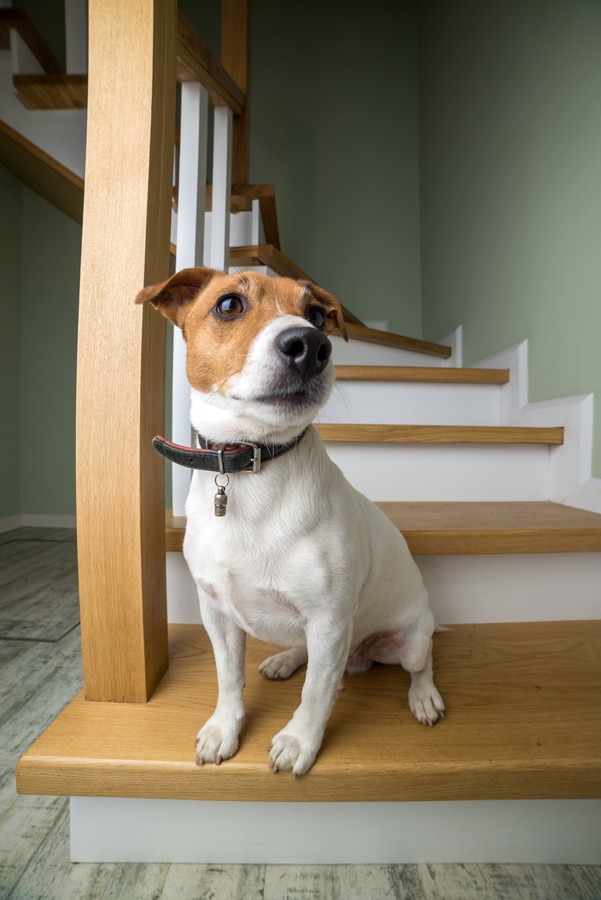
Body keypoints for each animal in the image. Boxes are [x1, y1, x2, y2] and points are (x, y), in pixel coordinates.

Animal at [137, 266, 446, 772]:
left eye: (317, 314)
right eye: (229, 304)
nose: (311, 344)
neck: (250, 465)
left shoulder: (328, 620)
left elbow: (316, 692)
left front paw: (300, 741)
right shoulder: (216, 614)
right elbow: (228, 678)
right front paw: (223, 728)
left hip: (411, 638)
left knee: (420, 665)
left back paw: (423, 697)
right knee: (311, 654)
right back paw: (284, 659)